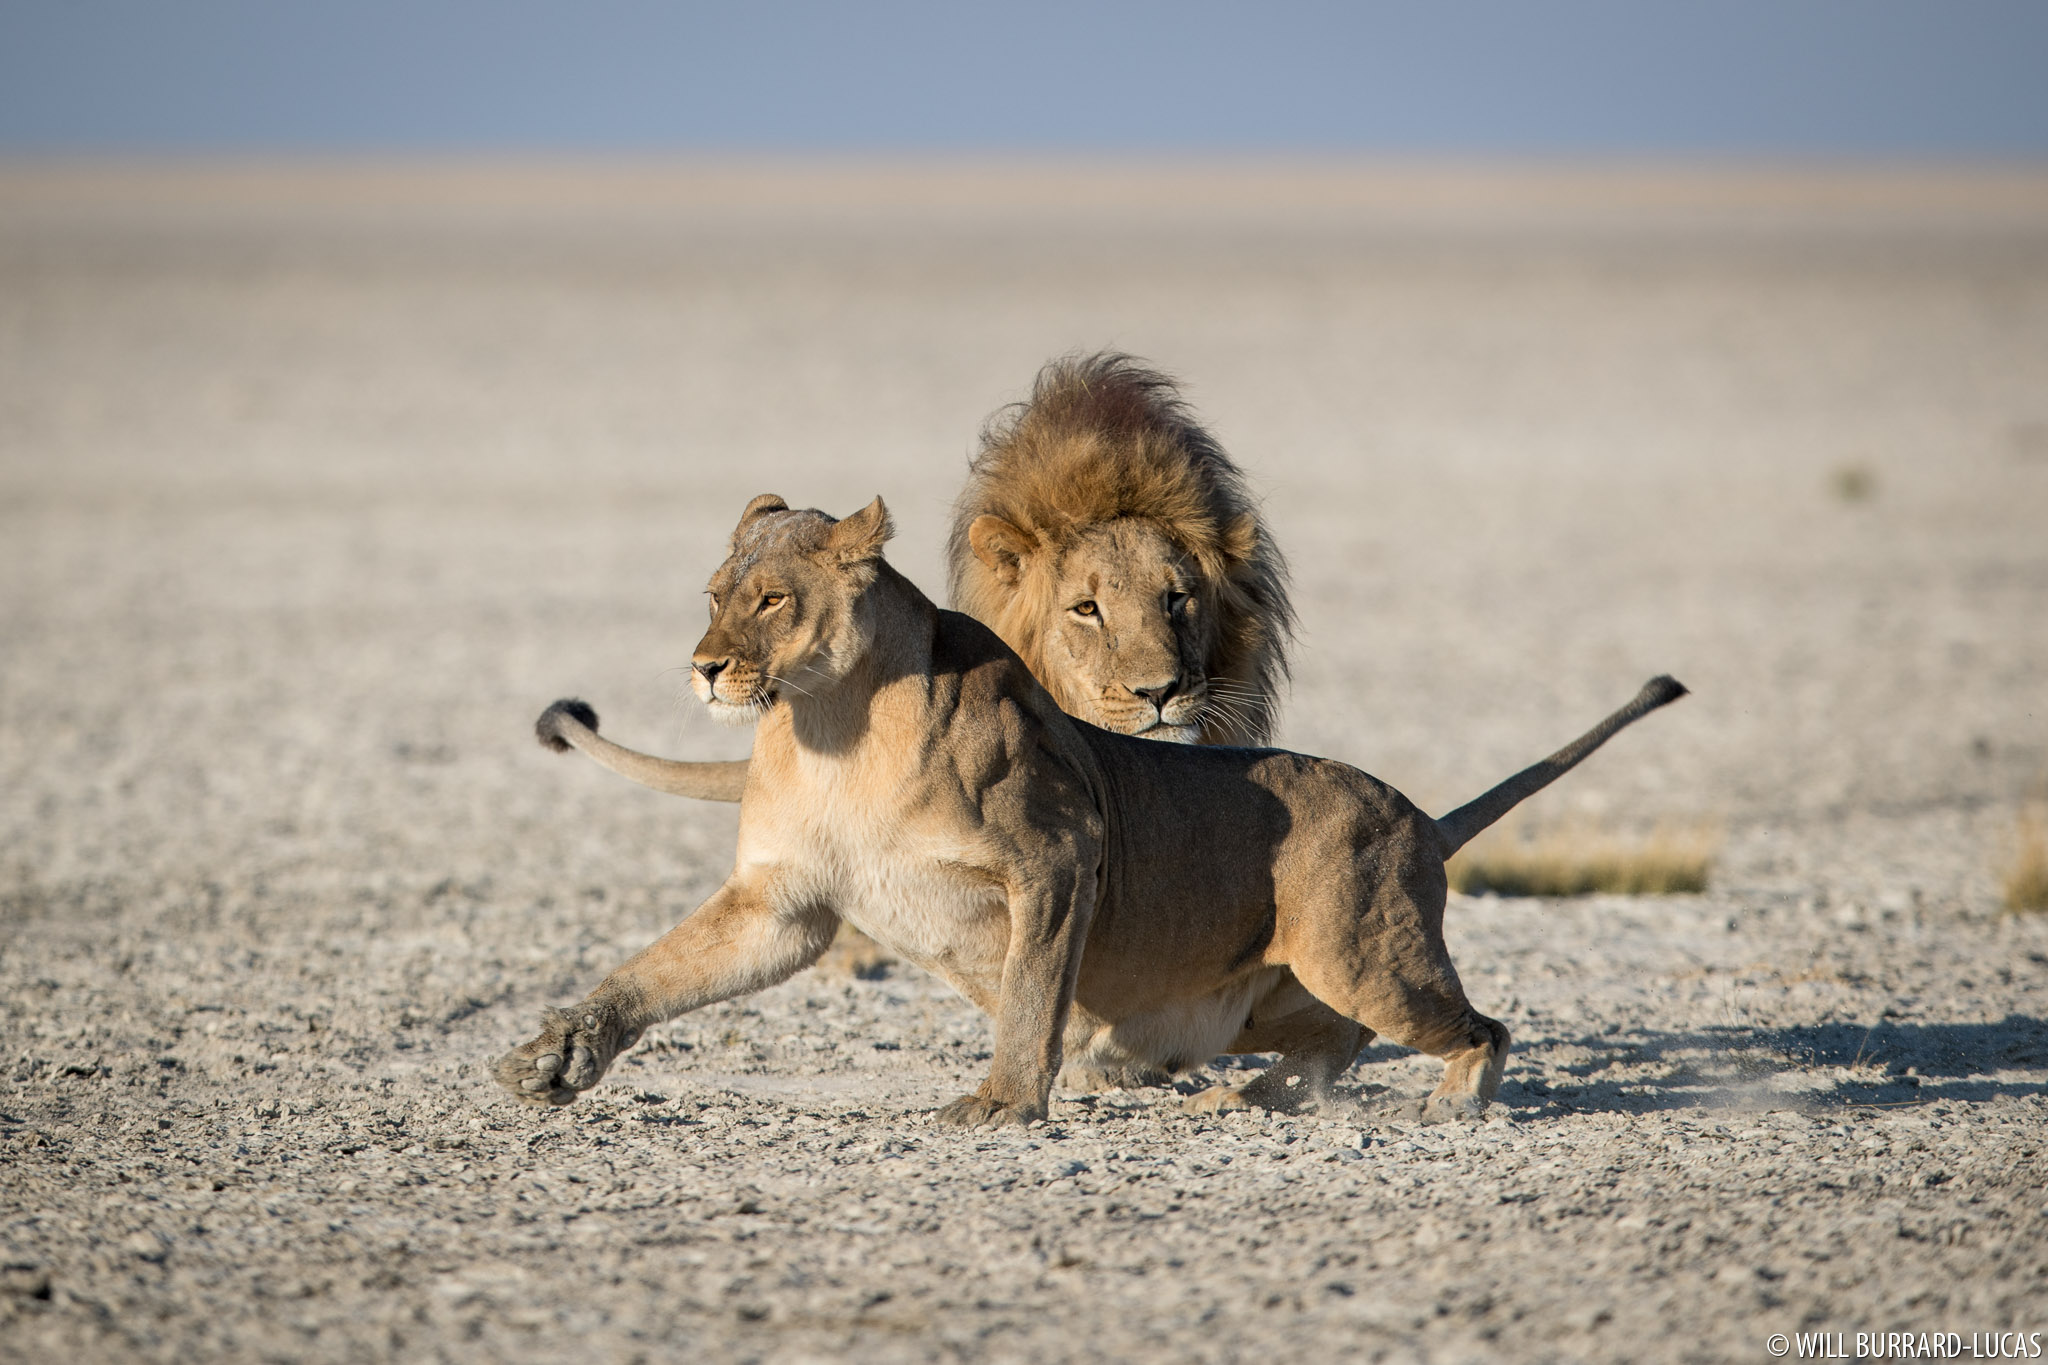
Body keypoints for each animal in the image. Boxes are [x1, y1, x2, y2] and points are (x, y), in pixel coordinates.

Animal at [495, 497, 1679, 1129]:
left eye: (772, 598)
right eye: (713, 595)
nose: (704, 668)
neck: (831, 725)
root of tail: (1421, 816)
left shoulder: (1057, 855)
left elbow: (1029, 993)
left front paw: (1004, 1104)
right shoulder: (781, 905)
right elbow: (652, 974)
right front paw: (559, 1053)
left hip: (1359, 949)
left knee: (1478, 1025)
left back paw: (1447, 1103)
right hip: (1275, 994)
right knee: (1329, 1040)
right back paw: (1253, 1098)